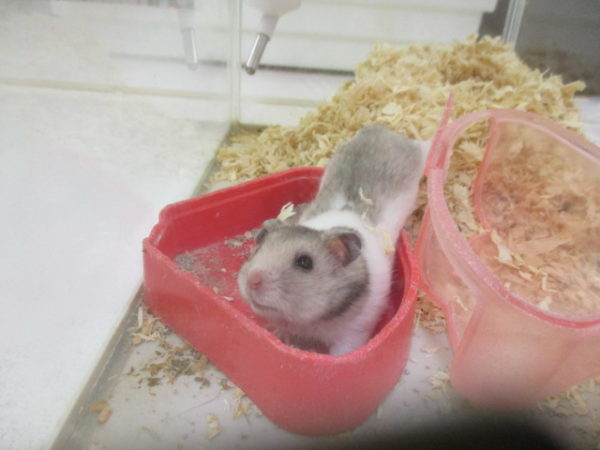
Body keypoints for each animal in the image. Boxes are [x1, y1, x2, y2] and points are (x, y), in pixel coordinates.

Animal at [238, 124, 428, 356]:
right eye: (258, 250)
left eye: (304, 262)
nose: (252, 280)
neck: (313, 321)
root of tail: (382, 129)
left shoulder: (352, 335)